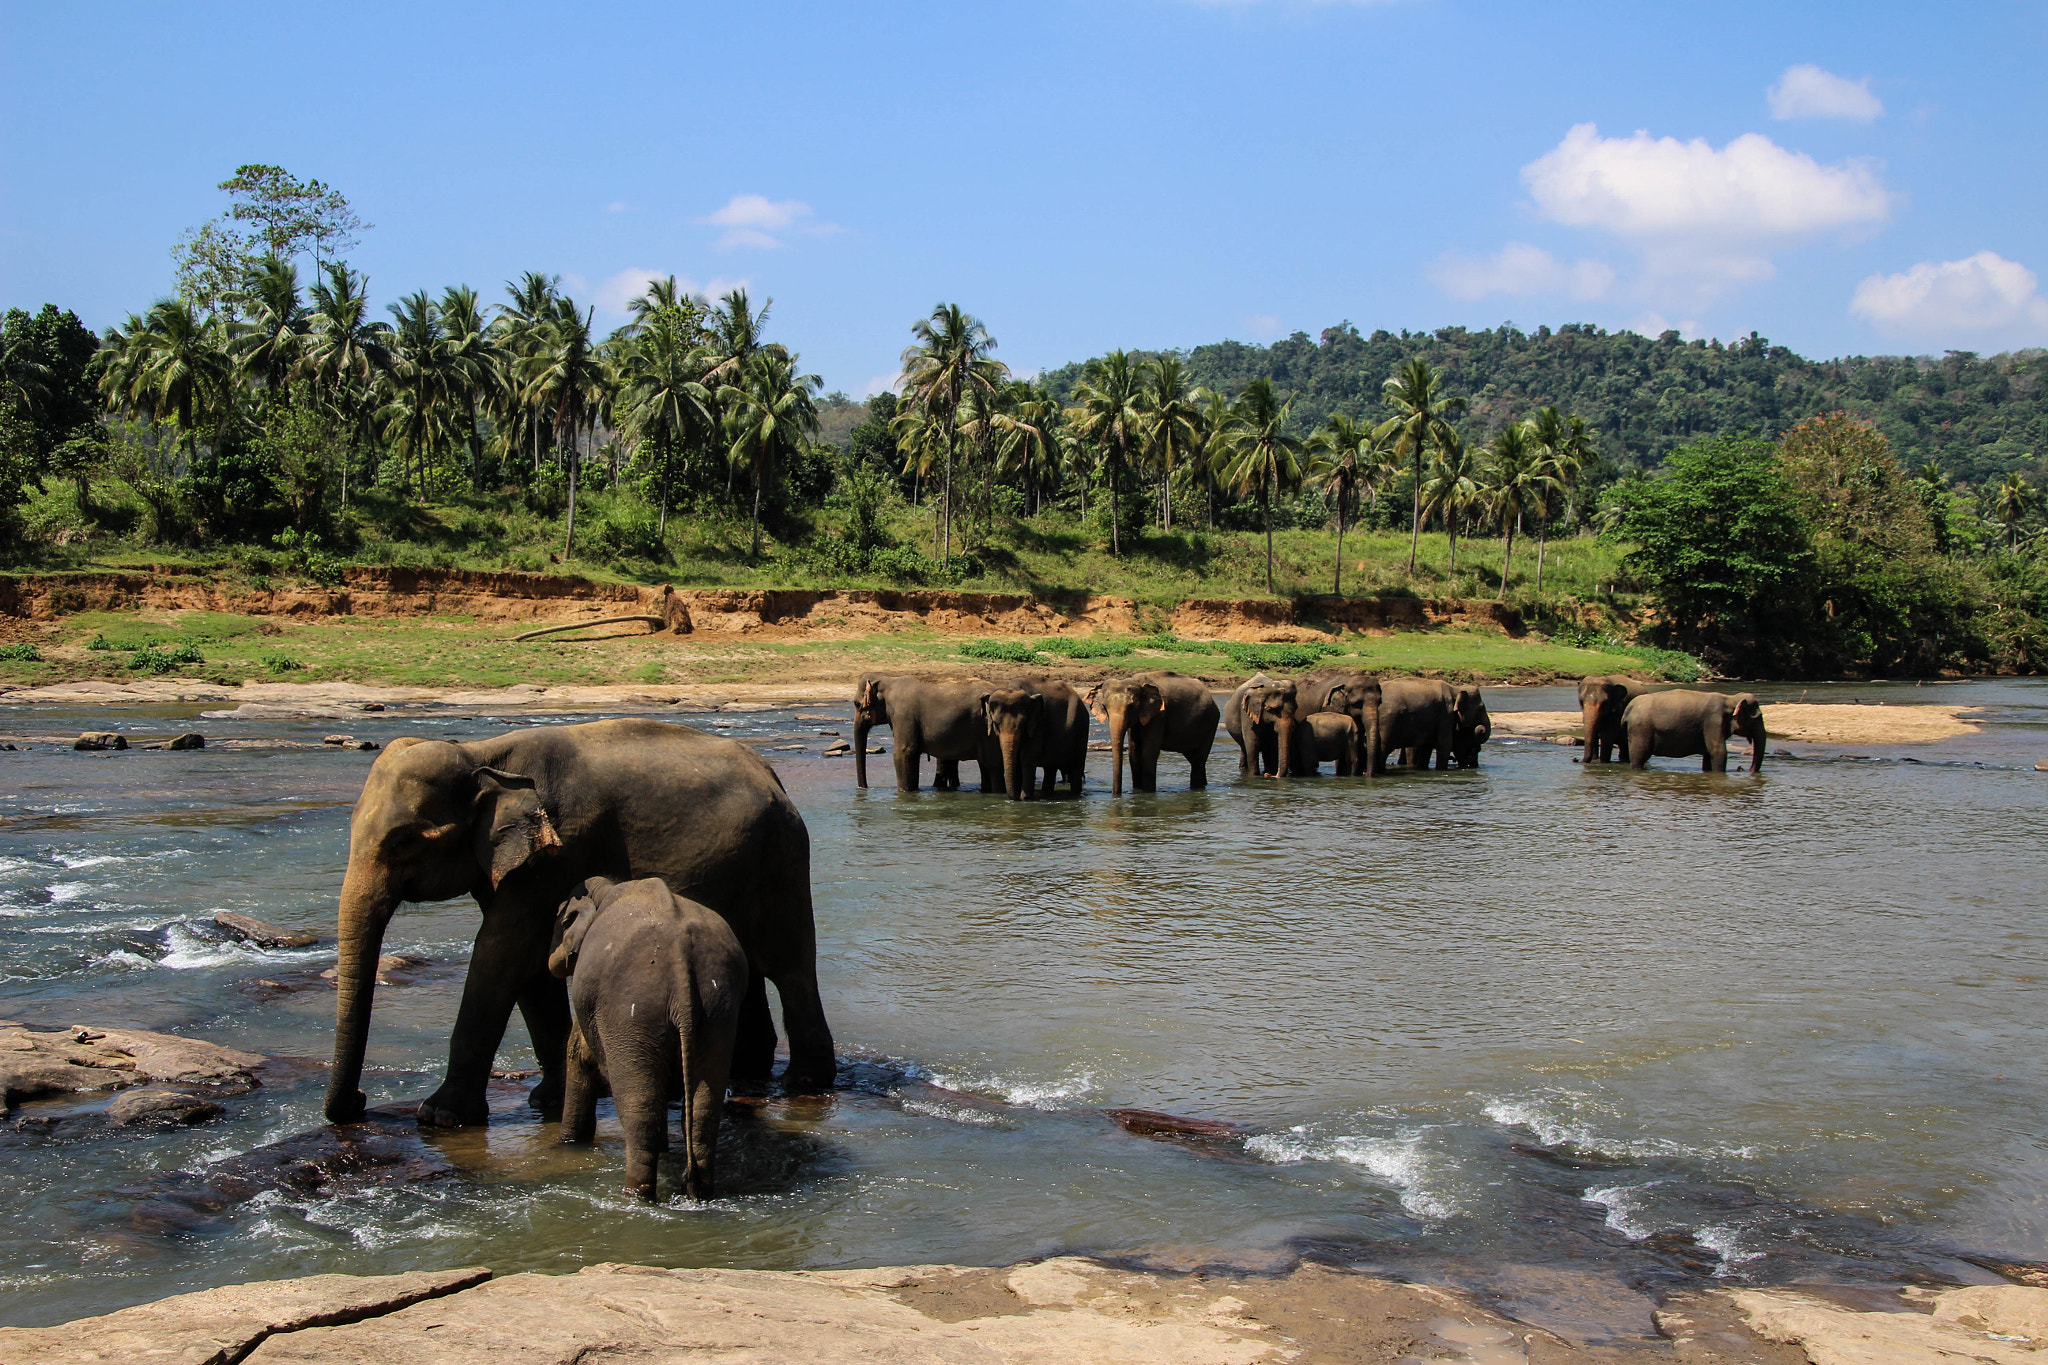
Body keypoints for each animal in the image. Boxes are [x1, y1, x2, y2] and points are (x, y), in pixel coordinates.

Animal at [322, 718, 833, 1128]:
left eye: (406, 841)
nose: (359, 1103)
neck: (482, 755)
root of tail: (772, 775)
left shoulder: (560, 848)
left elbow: (501, 953)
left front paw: (440, 1117)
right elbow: (526, 964)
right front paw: (548, 1100)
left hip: (782, 857)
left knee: (790, 967)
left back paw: (804, 1082)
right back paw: (747, 1073)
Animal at [549, 876, 744, 1202]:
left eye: (560, 922)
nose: (552, 961)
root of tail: (680, 960)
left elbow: (578, 1054)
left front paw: (565, 1146)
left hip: (632, 1011)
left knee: (639, 1110)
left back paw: (635, 1195)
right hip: (719, 1008)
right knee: (703, 1109)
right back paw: (698, 1192)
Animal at [1086, 671, 1220, 795]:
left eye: (1131, 706)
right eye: (1105, 707)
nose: (1115, 793)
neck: (1138, 682)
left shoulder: (1159, 715)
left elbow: (1148, 752)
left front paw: (1147, 792)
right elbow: (1134, 753)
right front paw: (1137, 790)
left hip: (1210, 724)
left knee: (1198, 760)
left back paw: (1197, 788)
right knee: (1194, 760)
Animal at [1622, 690, 1767, 773]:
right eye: (1758, 718)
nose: (1745, 769)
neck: (1730, 698)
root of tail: (1629, 708)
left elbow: (1709, 754)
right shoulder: (1713, 721)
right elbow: (1718, 752)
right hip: (1641, 729)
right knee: (1639, 756)